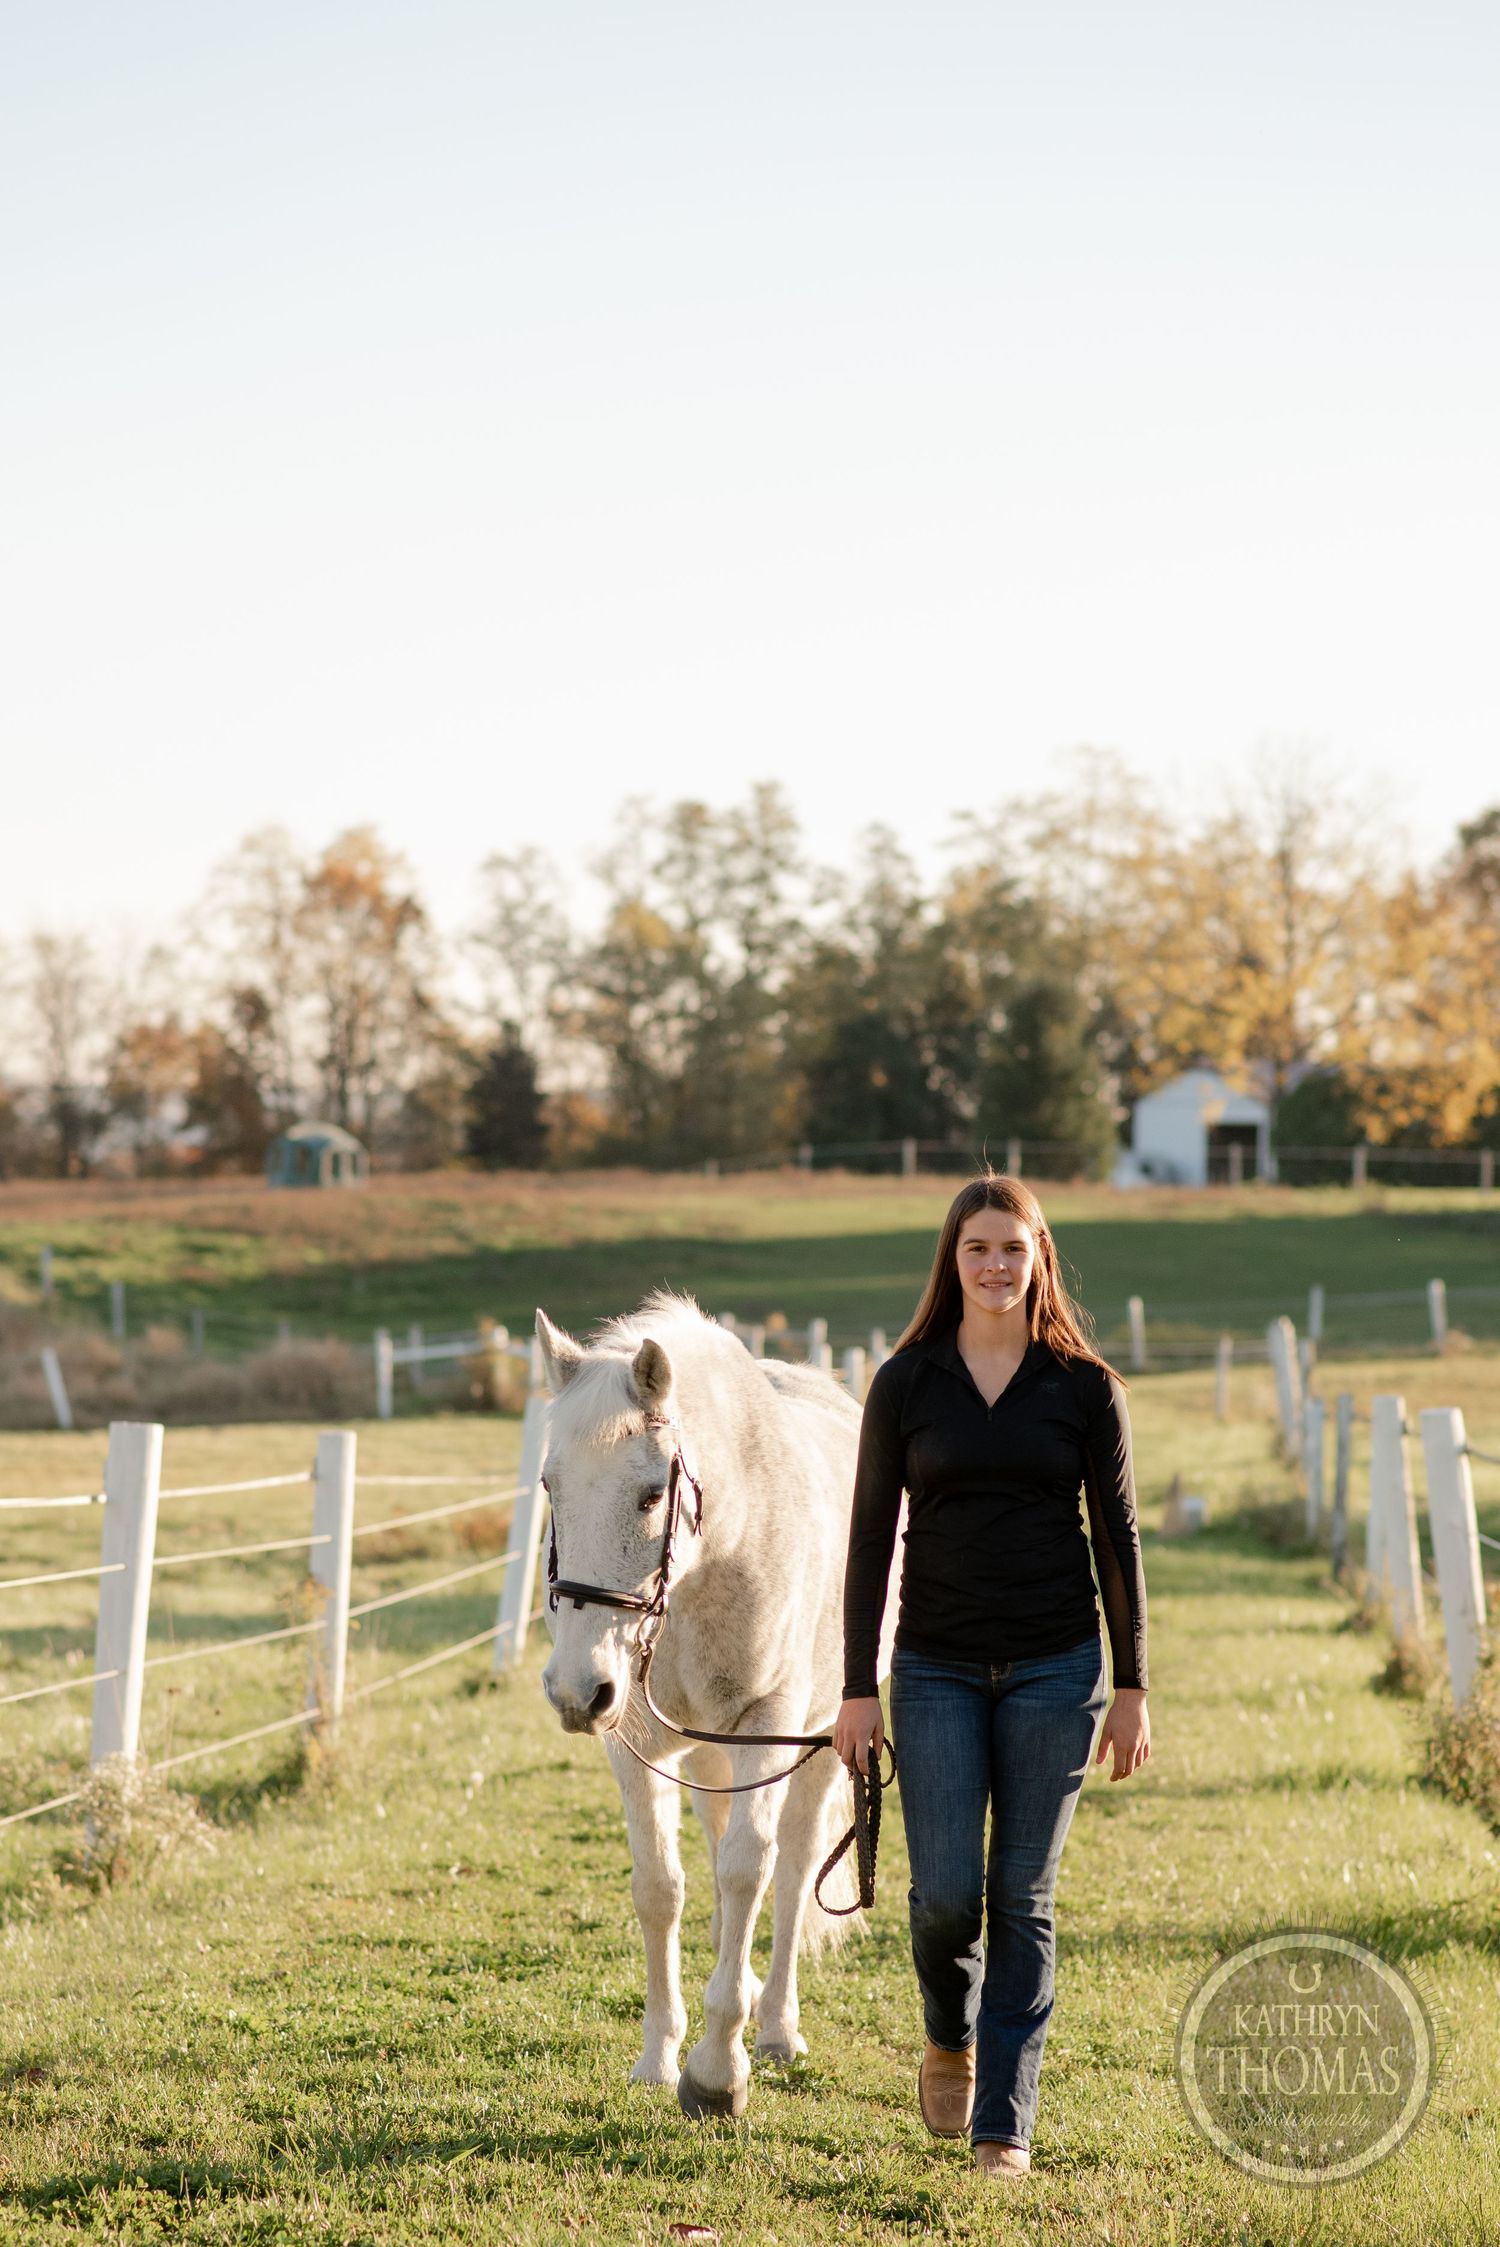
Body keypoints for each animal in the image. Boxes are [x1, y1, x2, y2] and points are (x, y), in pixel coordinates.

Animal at [535, 1291, 900, 2117]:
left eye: (650, 1494)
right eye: (549, 1486)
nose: (576, 1690)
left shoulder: (770, 1728)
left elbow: (748, 1871)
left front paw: (716, 2068)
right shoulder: (634, 1740)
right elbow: (659, 1886)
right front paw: (659, 2054)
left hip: (821, 1744)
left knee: (790, 1868)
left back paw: (774, 2027)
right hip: (706, 1752)